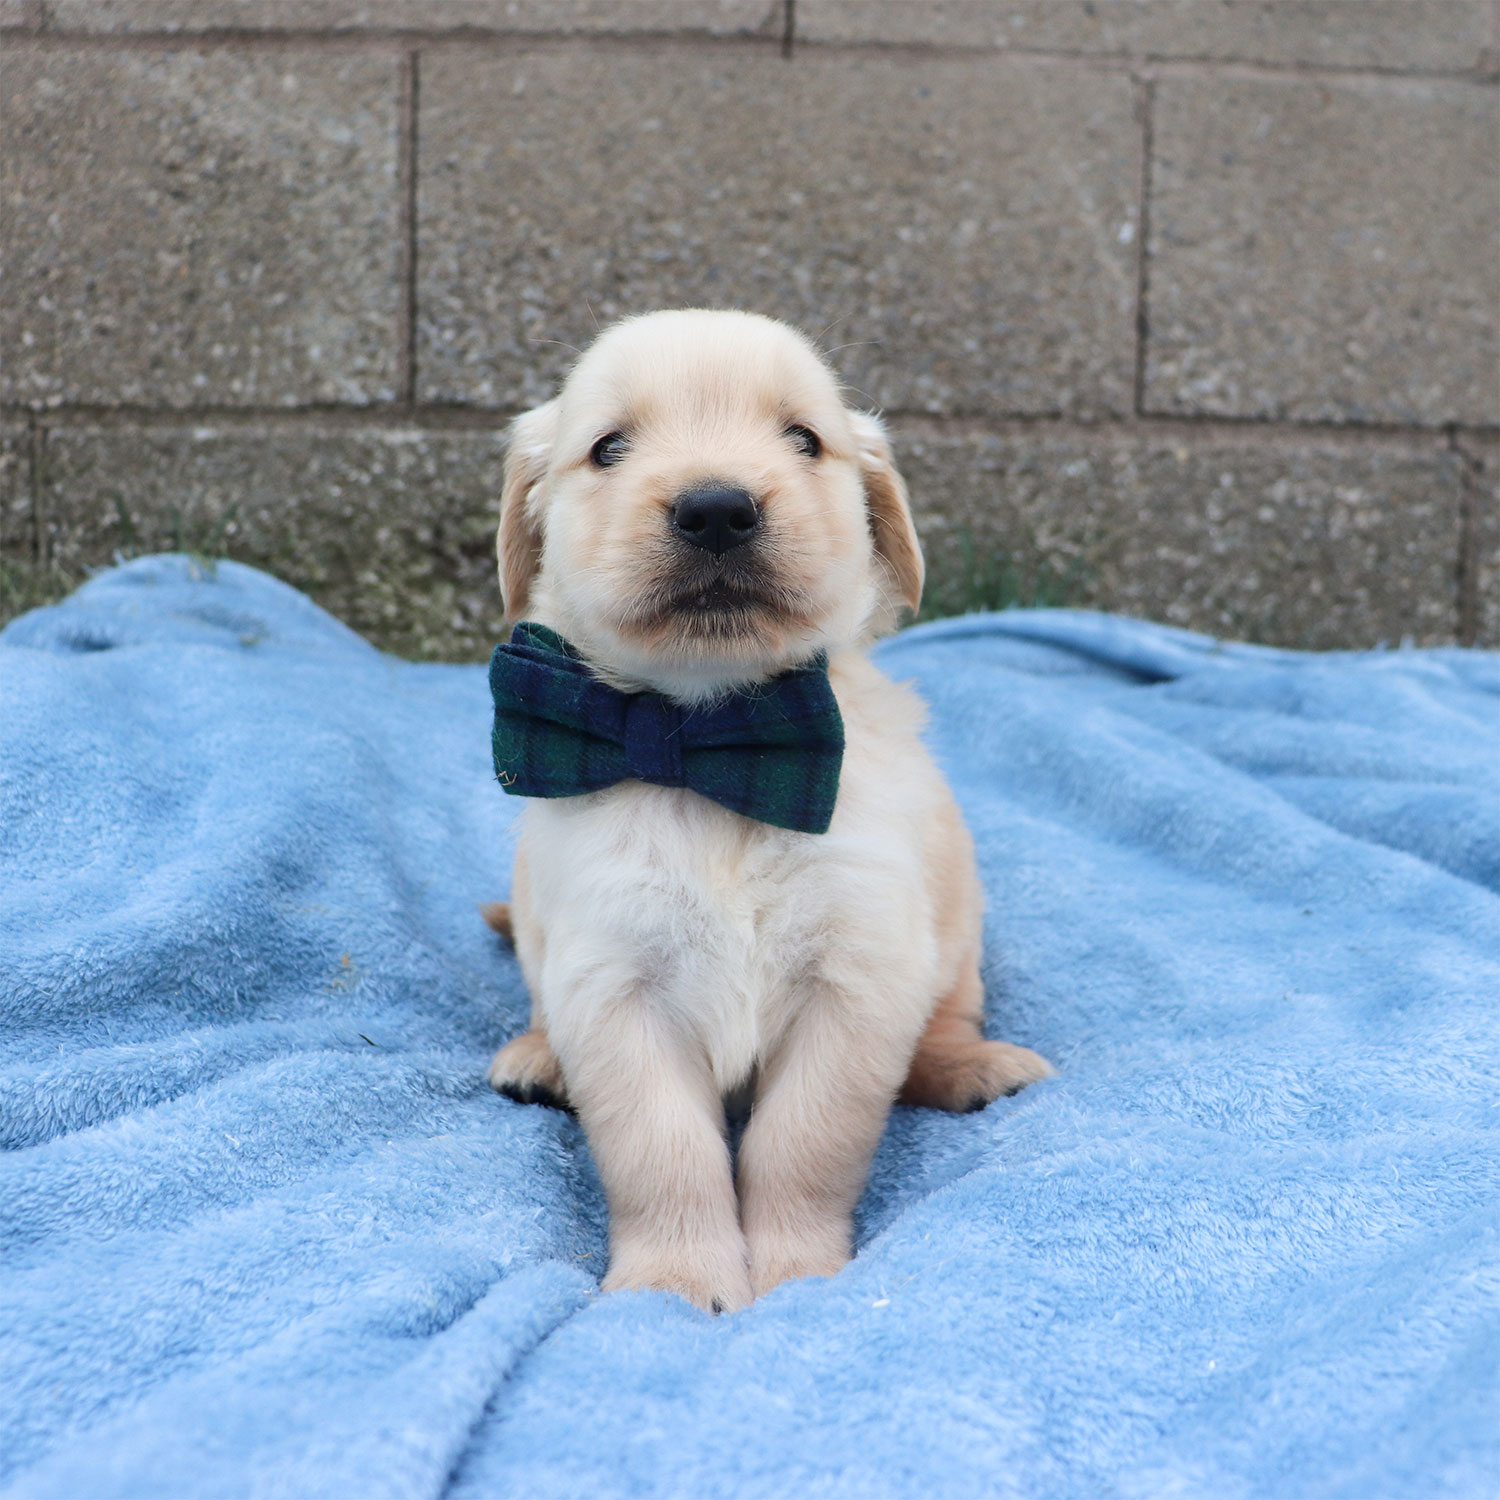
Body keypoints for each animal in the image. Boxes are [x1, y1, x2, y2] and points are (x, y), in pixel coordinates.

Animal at [486, 310, 1050, 1308]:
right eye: (609, 448)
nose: (717, 508)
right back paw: (538, 1059)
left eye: (803, 439)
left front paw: (793, 1273)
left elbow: (803, 1145)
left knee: (946, 1026)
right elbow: (663, 1153)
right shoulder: (615, 987)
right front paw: (675, 1281)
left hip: (960, 934)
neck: (713, 739)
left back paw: (975, 1067)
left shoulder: (856, 981)